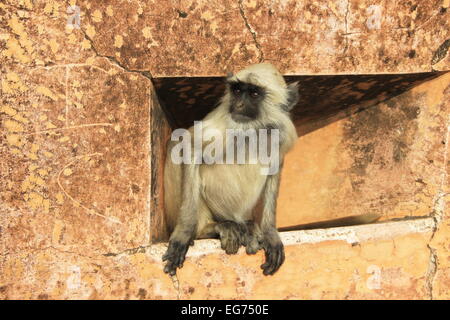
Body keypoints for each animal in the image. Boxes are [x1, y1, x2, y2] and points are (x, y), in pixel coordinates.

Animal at [162, 62, 298, 276]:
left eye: (254, 93)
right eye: (237, 90)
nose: (239, 105)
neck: (252, 129)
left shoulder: (280, 132)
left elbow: (274, 168)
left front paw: (270, 233)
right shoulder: (224, 122)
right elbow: (189, 145)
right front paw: (183, 233)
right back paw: (209, 228)